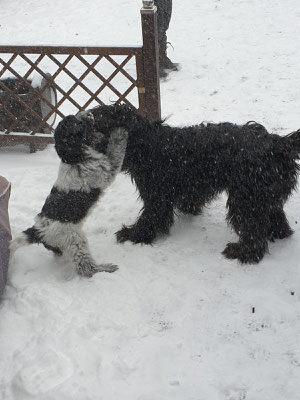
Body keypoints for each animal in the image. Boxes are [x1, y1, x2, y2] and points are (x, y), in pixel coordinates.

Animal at [9, 111, 127, 276]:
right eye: (78, 124)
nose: (89, 113)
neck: (77, 158)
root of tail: (38, 230)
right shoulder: (106, 171)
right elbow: (116, 150)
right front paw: (120, 131)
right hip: (75, 239)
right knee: (85, 268)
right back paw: (104, 268)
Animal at [81, 104, 298, 264]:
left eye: (97, 125)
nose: (82, 116)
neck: (147, 146)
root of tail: (280, 143)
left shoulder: (157, 196)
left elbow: (151, 217)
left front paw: (133, 234)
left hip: (246, 198)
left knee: (254, 232)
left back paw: (242, 252)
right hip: (263, 195)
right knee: (275, 217)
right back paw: (277, 234)